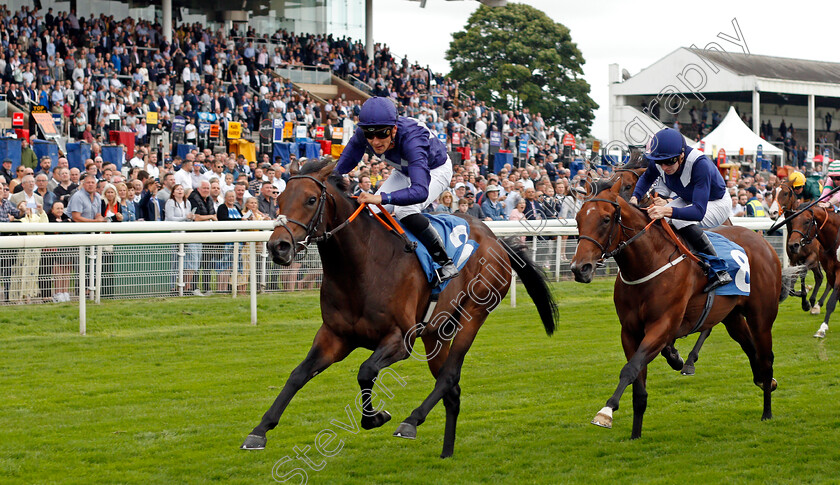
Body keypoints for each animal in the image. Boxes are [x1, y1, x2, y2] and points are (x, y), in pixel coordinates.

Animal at [241, 157, 556, 456]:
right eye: (279, 199)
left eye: (310, 199)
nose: (278, 247)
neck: (361, 266)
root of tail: (496, 240)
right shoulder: (334, 336)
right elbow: (298, 375)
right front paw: (259, 430)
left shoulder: (400, 338)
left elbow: (366, 370)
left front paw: (376, 417)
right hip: (436, 333)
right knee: (452, 389)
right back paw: (446, 452)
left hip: (474, 312)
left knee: (449, 375)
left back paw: (411, 421)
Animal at [568, 182, 792, 438]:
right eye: (578, 219)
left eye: (606, 219)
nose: (580, 268)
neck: (649, 261)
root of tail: (762, 241)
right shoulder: (630, 331)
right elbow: (638, 383)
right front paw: (635, 434)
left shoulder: (662, 326)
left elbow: (630, 368)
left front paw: (606, 411)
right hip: (732, 317)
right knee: (751, 349)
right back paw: (765, 382)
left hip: (761, 316)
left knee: (766, 358)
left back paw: (767, 411)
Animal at [768, 182, 832, 314]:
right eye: (772, 193)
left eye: (785, 193)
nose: (772, 212)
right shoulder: (794, 260)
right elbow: (792, 286)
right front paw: (805, 297)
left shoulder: (812, 257)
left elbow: (803, 272)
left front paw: (805, 301)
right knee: (820, 277)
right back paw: (813, 301)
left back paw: (818, 304)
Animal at [788, 206, 840, 338]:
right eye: (792, 221)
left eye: (807, 221)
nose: (793, 245)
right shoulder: (829, 270)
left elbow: (832, 301)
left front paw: (822, 329)